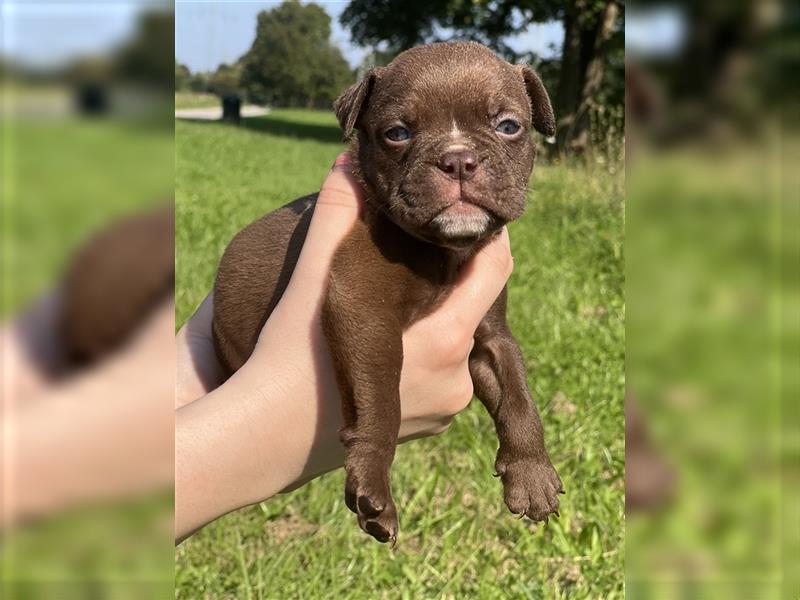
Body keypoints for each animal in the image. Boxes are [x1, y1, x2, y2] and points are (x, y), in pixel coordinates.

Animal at [212, 42, 564, 544]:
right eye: (397, 133)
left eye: (509, 126)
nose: (458, 159)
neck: (444, 249)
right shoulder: (364, 309)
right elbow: (383, 398)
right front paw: (374, 485)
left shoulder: (490, 334)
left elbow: (517, 394)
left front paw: (532, 473)